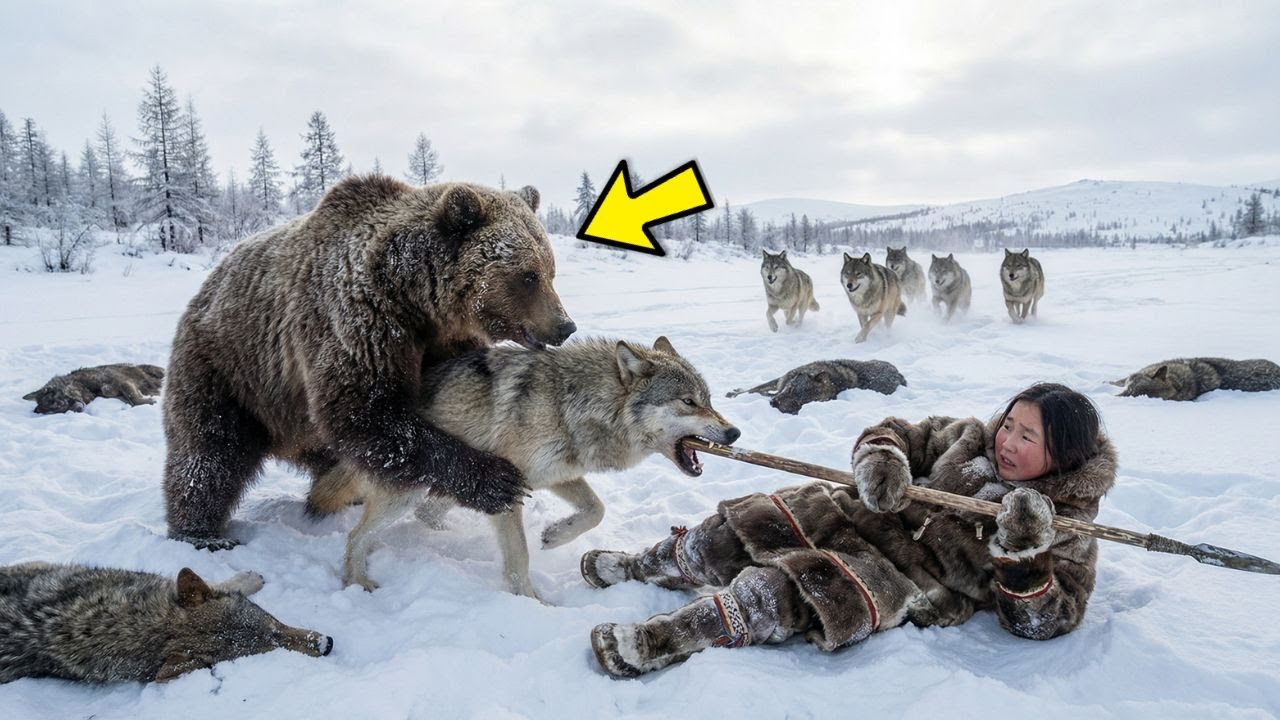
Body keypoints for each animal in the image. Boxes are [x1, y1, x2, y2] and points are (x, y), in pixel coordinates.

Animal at [23, 363, 164, 414]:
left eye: (59, 404)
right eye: (60, 412)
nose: (78, 410)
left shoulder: (120, 380)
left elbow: (131, 396)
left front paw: (148, 401)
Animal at [307, 336, 741, 599]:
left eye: (708, 400)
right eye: (688, 402)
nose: (734, 432)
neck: (573, 403)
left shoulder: (555, 474)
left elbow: (596, 510)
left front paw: (555, 535)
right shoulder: (512, 488)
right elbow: (519, 556)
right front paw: (531, 602)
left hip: (463, 483)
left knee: (426, 514)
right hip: (416, 490)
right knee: (357, 535)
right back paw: (357, 580)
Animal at [725, 359, 907, 414]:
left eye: (798, 404)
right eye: (791, 389)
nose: (773, 404)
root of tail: (899, 374)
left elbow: (760, 392)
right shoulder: (780, 381)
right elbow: (755, 388)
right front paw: (734, 393)